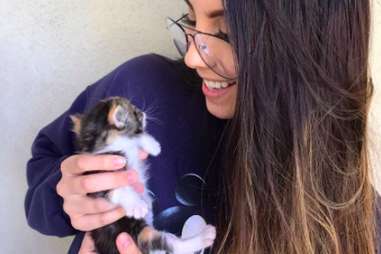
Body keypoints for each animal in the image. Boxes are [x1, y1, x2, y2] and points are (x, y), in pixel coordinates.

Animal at [70, 96, 215, 254]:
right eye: (135, 112)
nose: (143, 112)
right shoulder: (100, 179)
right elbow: (120, 188)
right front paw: (137, 205)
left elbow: (137, 137)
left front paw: (153, 145)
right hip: (139, 235)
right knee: (173, 244)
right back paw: (205, 236)